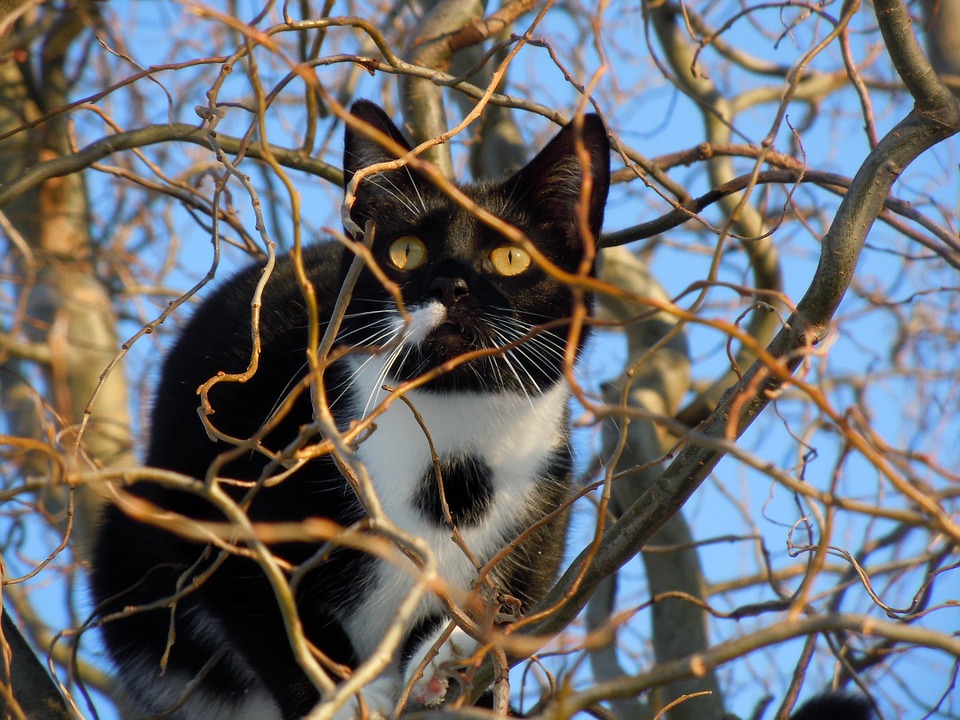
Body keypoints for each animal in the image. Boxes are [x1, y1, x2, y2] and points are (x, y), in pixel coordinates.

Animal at [94, 101, 612, 720]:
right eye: (406, 250)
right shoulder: (207, 488)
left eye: (511, 257)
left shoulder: (544, 509)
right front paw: (343, 694)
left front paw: (442, 661)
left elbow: (513, 606)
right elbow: (268, 611)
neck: (450, 443)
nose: (451, 285)